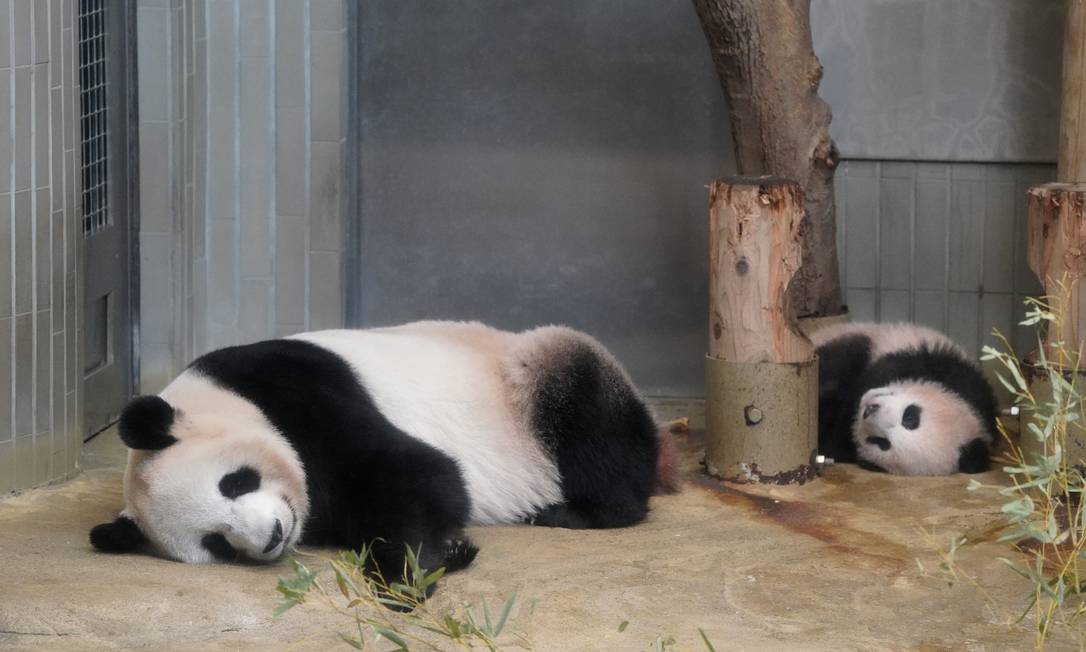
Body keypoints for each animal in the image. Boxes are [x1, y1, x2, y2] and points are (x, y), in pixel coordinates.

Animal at [90, 320, 679, 592]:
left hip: (531, 377)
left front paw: (413, 571)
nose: (272, 536)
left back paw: (573, 511)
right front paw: (439, 555)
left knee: (587, 411)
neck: (219, 396)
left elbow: (419, 472)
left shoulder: (301, 388)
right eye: (216, 542)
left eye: (234, 482)